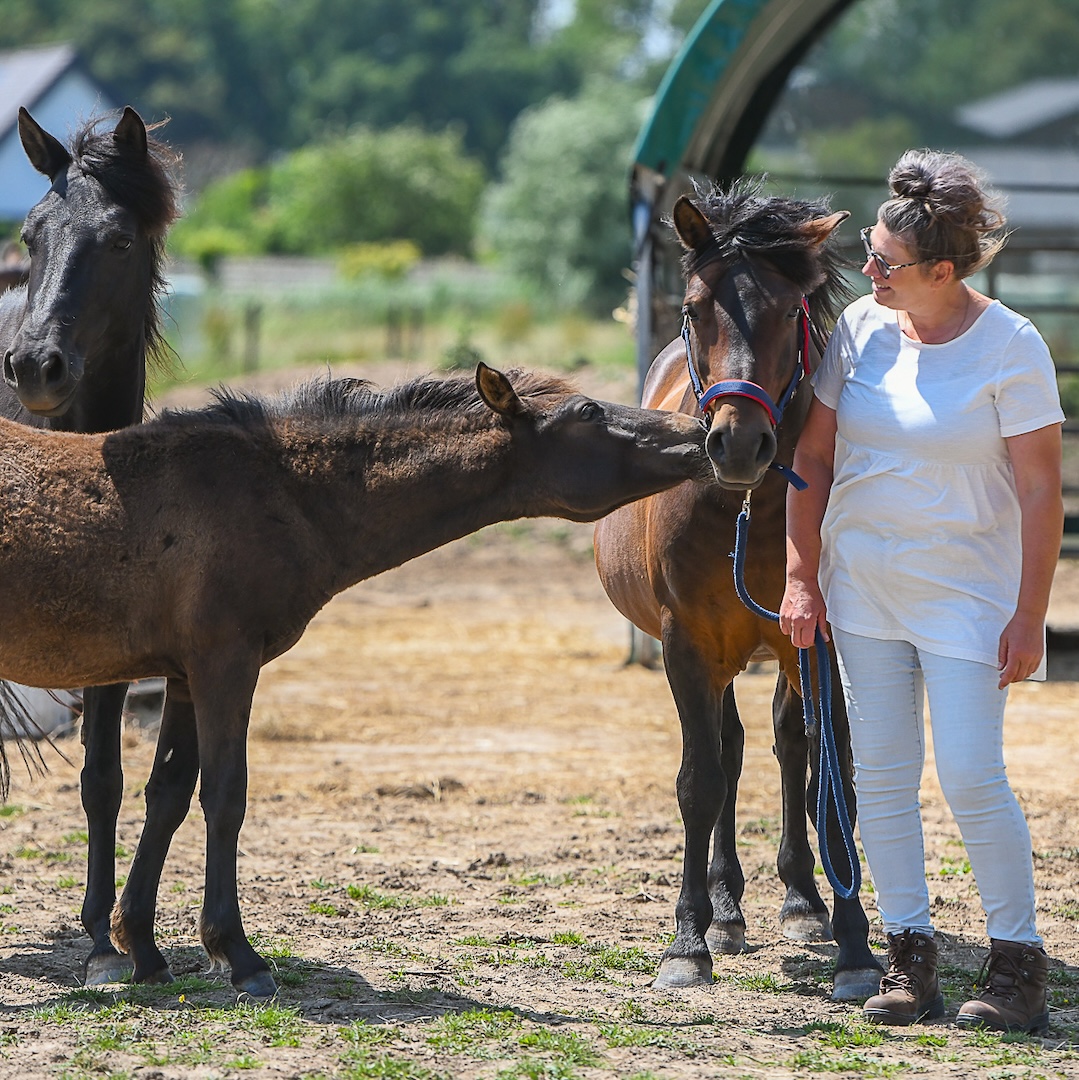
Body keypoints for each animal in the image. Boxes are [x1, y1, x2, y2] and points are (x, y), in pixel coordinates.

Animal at [0, 363, 719, 999]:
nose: (701, 432)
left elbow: (169, 797)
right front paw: (238, 955)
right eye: (588, 413)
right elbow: (225, 797)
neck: (277, 489)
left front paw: (144, 950)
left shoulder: (182, 675)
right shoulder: (224, 664)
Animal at [594, 181, 884, 1001]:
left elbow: (833, 785)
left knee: (790, 746)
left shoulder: (818, 641)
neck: (747, 510)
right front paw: (688, 941)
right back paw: (725, 911)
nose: (739, 442)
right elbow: (700, 781)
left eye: (790, 312)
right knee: (728, 749)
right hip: (722, 654)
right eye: (696, 309)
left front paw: (853, 943)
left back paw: (801, 901)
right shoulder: (687, 645)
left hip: (779, 651)